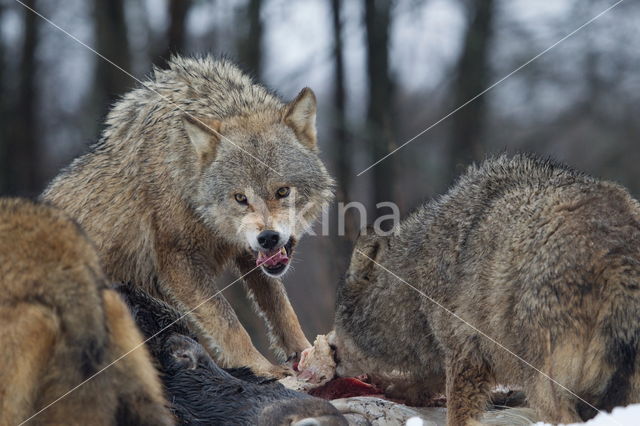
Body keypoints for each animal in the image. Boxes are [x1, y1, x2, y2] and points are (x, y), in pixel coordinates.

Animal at [43, 55, 336, 378]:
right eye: (240, 198)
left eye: (282, 191)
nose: (268, 238)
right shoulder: (178, 263)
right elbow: (229, 323)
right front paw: (260, 367)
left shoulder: (248, 255)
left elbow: (282, 309)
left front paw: (307, 351)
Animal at [332, 154, 640, 426]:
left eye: (338, 326)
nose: (332, 354)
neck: (416, 277)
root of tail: (619, 253)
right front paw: (396, 387)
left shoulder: (465, 353)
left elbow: (456, 414)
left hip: (544, 386)